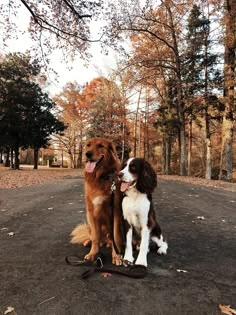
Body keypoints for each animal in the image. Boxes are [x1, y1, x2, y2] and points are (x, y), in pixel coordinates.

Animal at [70, 138, 123, 266]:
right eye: (88, 145)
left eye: (100, 145)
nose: (87, 154)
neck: (100, 177)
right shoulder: (91, 212)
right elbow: (95, 237)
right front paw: (93, 254)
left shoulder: (116, 212)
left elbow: (116, 236)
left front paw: (116, 256)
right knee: (96, 237)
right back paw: (88, 241)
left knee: (112, 239)